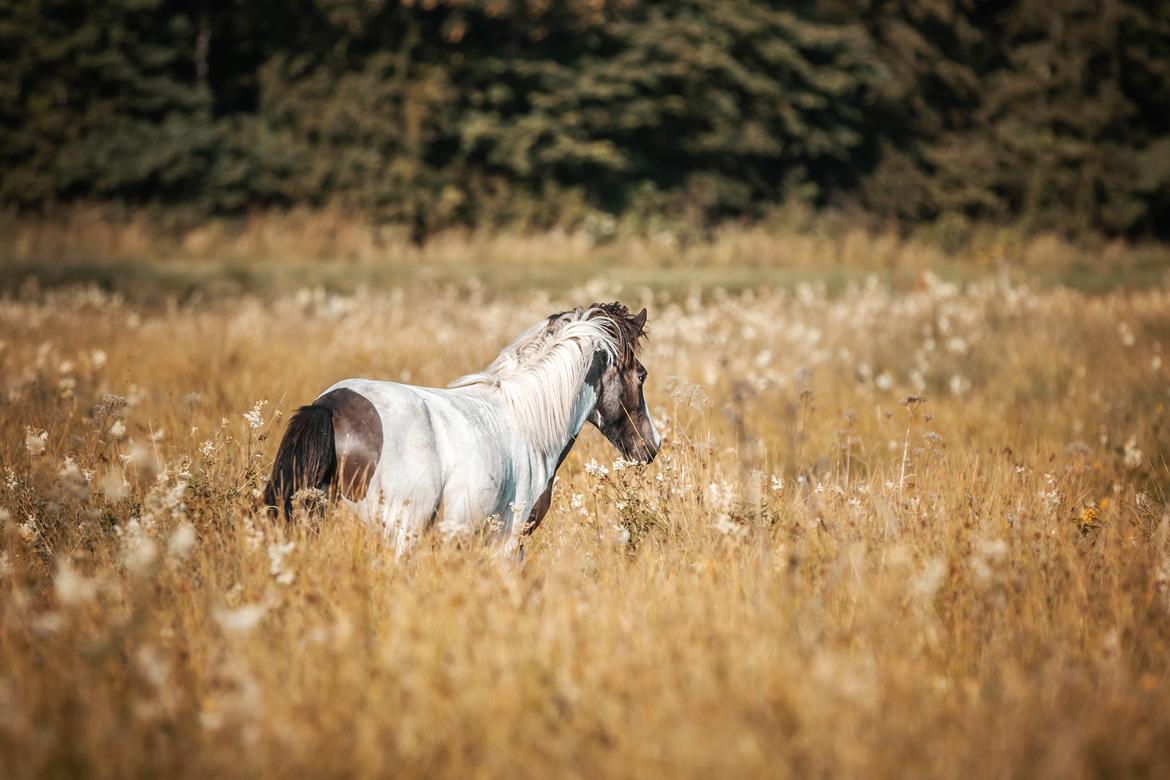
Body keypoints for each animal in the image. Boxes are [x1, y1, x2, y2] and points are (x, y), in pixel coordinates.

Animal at [265, 301, 664, 554]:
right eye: (642, 374)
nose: (651, 445)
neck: (527, 418)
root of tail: (327, 408)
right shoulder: (507, 545)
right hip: (399, 535)